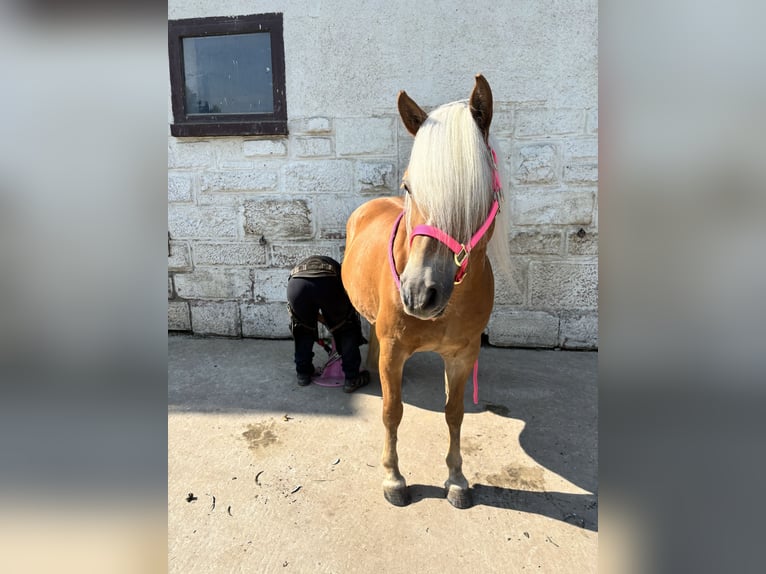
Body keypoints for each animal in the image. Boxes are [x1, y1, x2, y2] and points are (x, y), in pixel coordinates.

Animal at [342, 75, 510, 508]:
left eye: (477, 189)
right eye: (408, 185)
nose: (419, 294)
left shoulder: (463, 355)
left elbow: (454, 413)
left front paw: (457, 478)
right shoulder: (395, 348)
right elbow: (391, 411)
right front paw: (393, 478)